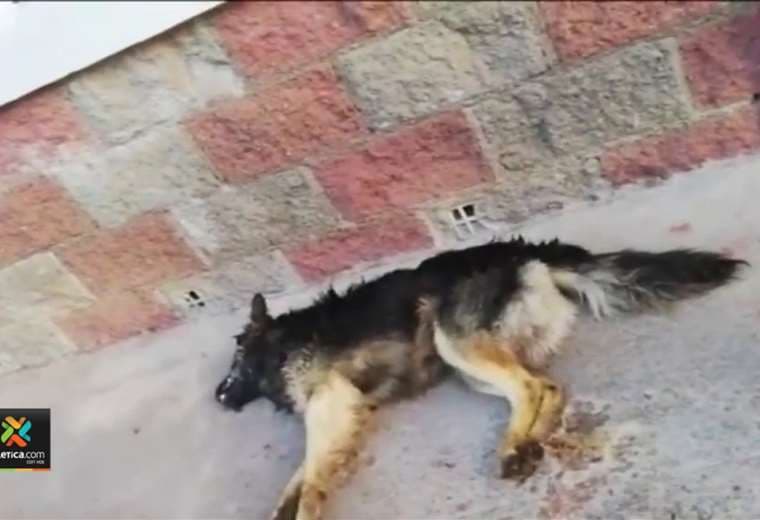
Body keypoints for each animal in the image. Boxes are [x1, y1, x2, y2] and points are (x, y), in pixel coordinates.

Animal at [215, 237, 746, 520]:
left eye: (235, 357)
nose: (217, 395)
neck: (280, 341)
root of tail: (524, 253)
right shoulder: (335, 411)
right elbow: (297, 478)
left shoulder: (330, 403)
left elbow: (310, 478)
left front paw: (306, 507)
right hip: (467, 360)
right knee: (545, 388)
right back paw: (530, 442)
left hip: (454, 342)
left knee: (530, 387)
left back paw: (514, 450)